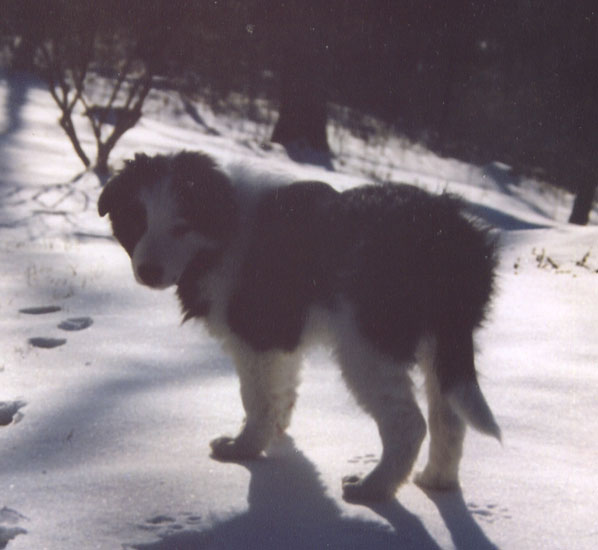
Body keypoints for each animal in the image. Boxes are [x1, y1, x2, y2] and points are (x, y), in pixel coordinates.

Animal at [99, 151, 502, 504]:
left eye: (181, 227)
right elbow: (282, 390)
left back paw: (372, 488)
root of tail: (452, 235)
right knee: (449, 419)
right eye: (136, 221)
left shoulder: (254, 335)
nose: (148, 272)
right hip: (442, 344)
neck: (224, 227)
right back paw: (436, 481)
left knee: (408, 423)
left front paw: (242, 448)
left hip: (367, 344)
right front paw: (274, 435)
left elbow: (256, 398)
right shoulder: (280, 338)